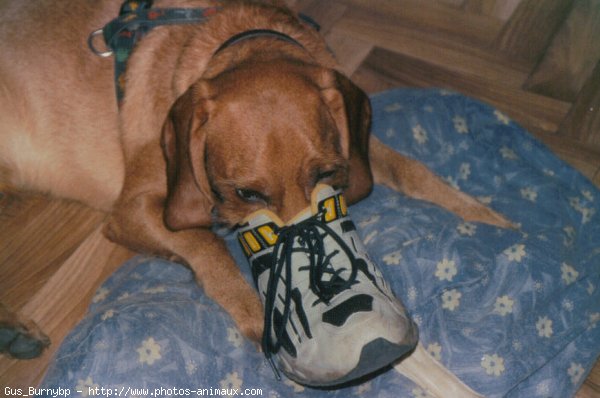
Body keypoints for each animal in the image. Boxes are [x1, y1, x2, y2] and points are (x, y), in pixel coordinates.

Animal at [0, 0, 508, 394]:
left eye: (327, 175)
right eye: (246, 193)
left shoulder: (358, 151)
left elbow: (413, 170)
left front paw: (493, 221)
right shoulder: (134, 210)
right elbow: (206, 244)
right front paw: (253, 312)